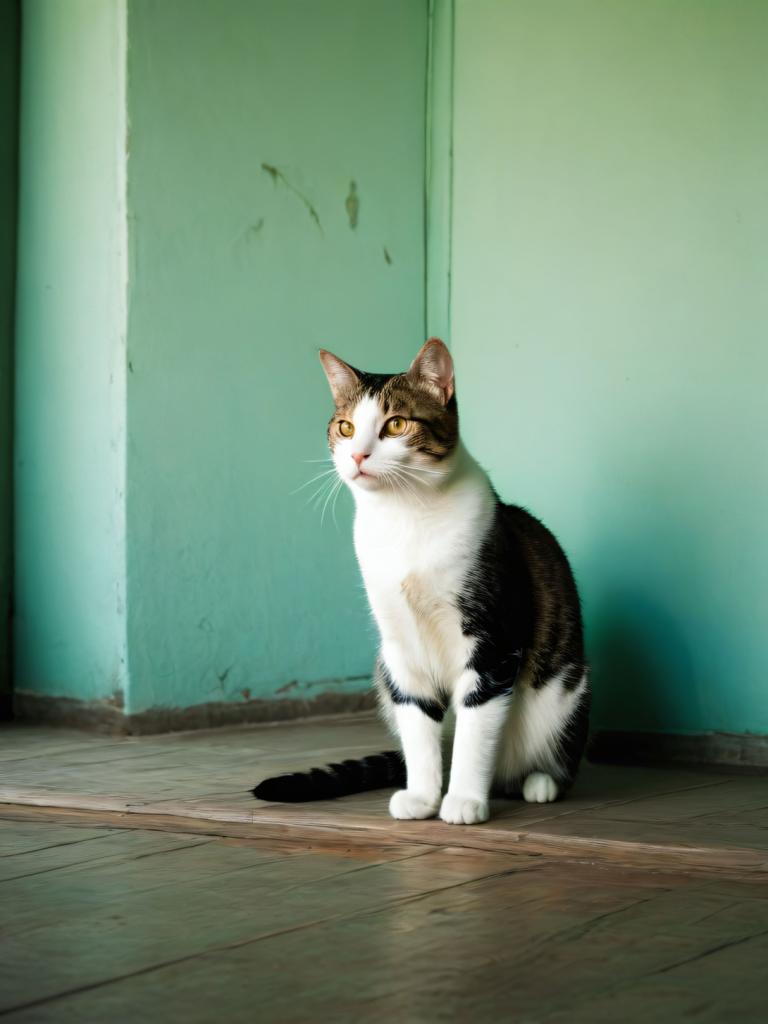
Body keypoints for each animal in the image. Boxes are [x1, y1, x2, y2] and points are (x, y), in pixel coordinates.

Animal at [256, 337, 593, 823]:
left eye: (396, 424)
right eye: (345, 427)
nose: (357, 455)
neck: (406, 517)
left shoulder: (493, 640)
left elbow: (475, 727)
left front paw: (464, 801)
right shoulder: (399, 645)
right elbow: (417, 722)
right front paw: (422, 797)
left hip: (567, 693)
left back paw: (539, 782)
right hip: (383, 669)